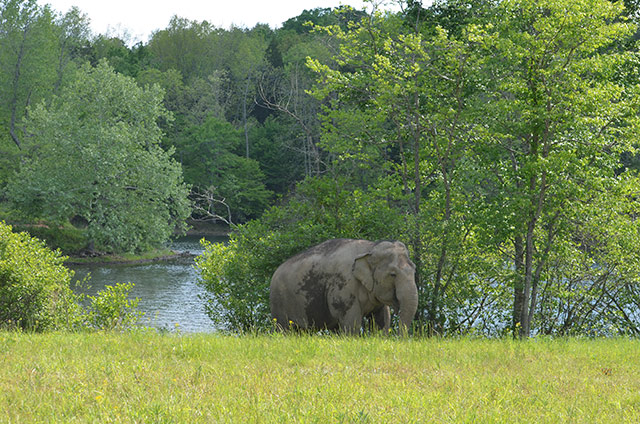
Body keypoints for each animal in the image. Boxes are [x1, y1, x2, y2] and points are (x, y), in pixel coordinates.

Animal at [268, 238, 418, 334]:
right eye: (393, 274)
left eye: (414, 269)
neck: (370, 248)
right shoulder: (345, 287)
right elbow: (351, 321)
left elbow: (383, 319)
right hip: (279, 302)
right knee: (284, 328)